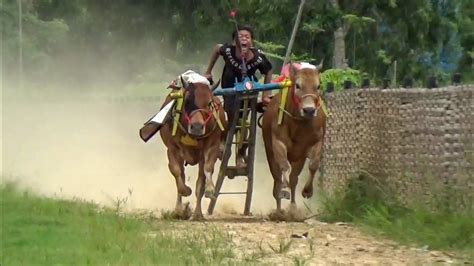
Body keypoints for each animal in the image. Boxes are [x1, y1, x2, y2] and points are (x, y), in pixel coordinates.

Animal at [159, 81, 226, 220]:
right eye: (187, 101)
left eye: (208, 103)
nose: (196, 127)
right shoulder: (172, 149)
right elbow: (176, 172)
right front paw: (185, 191)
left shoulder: (211, 147)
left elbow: (206, 172)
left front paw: (210, 189)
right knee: (181, 177)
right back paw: (179, 210)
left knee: (200, 181)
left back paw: (197, 214)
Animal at [262, 61, 326, 212]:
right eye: (297, 85)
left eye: (318, 86)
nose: (309, 110)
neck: (299, 125)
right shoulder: (278, 143)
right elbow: (283, 166)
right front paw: (284, 190)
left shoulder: (316, 143)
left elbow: (313, 165)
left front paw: (308, 191)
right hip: (270, 154)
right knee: (277, 180)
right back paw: (279, 209)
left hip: (298, 159)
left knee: (293, 179)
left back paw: (292, 207)